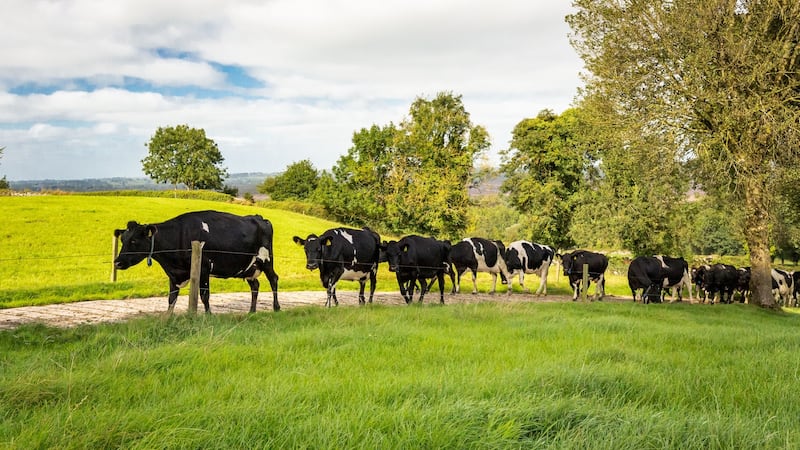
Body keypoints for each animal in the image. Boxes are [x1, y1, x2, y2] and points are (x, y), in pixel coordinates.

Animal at [113, 210, 278, 312]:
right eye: (122, 240)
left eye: (134, 241)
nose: (117, 262)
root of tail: (259, 217)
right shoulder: (174, 274)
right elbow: (171, 298)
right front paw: (167, 318)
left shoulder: (203, 268)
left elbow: (204, 296)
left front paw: (208, 316)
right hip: (249, 267)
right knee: (255, 285)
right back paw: (251, 311)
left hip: (266, 259)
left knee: (273, 279)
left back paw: (276, 308)